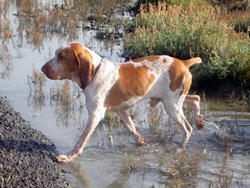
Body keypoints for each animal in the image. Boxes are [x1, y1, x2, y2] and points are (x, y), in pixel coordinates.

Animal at [42, 41, 204, 162]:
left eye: (62, 56)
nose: (43, 69)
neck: (95, 72)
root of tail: (183, 62)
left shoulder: (95, 115)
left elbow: (81, 140)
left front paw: (68, 156)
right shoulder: (122, 111)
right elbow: (132, 129)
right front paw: (142, 143)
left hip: (172, 105)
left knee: (187, 129)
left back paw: (180, 149)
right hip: (172, 99)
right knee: (195, 99)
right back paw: (199, 121)